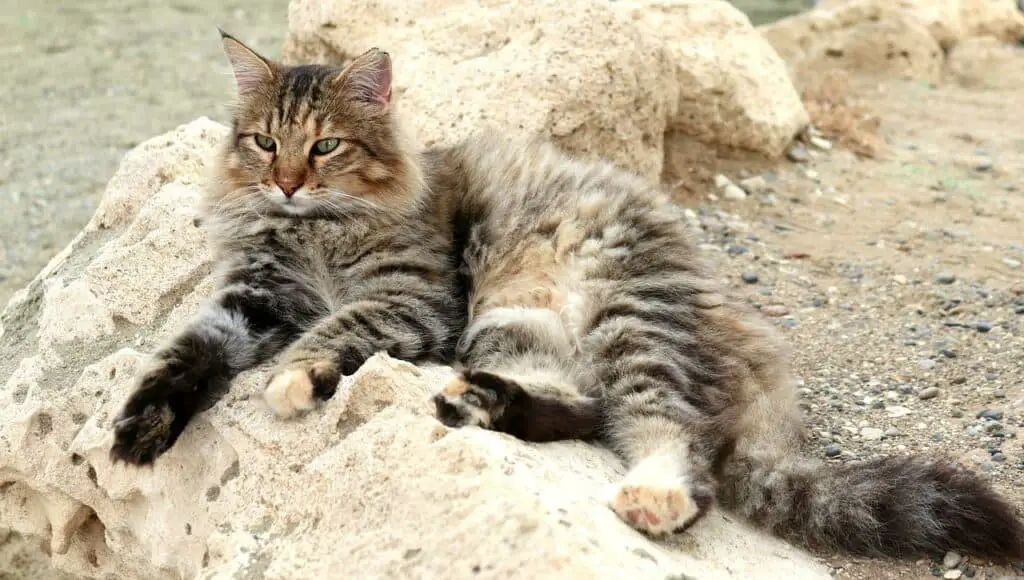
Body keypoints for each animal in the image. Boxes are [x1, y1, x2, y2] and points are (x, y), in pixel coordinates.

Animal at [108, 31, 1019, 569]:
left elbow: (332, 328)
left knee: (671, 438)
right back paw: (482, 404)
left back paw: (652, 494)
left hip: (623, 323)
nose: (288, 183)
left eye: (325, 146)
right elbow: (187, 352)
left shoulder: (413, 297)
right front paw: (138, 428)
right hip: (513, 325)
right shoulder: (255, 297)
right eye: (265, 142)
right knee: (584, 408)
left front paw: (295, 382)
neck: (311, 232)